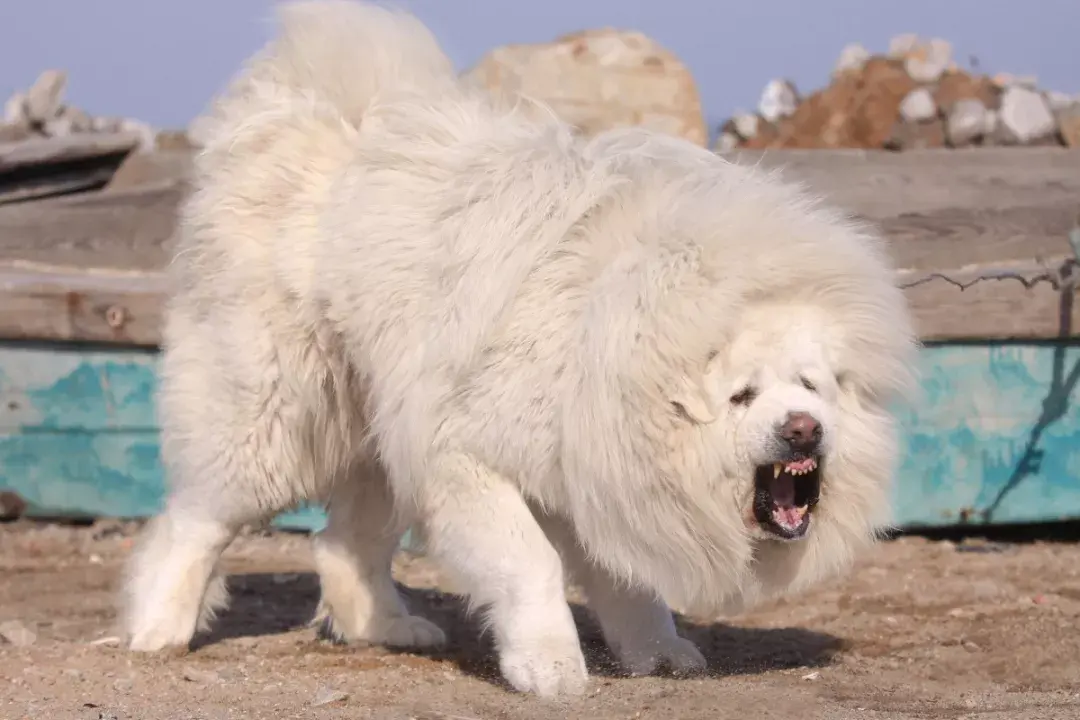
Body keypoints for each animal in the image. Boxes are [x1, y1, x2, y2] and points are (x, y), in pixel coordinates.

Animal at [124, 0, 920, 699]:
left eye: (811, 387)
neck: (620, 349)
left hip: (384, 435)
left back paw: (385, 628)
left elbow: (629, 583)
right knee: (200, 520)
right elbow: (530, 564)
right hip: (274, 417)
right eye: (742, 396)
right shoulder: (466, 458)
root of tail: (326, 120)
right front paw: (551, 669)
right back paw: (157, 630)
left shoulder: (597, 473)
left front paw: (655, 653)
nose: (803, 431)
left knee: (344, 543)